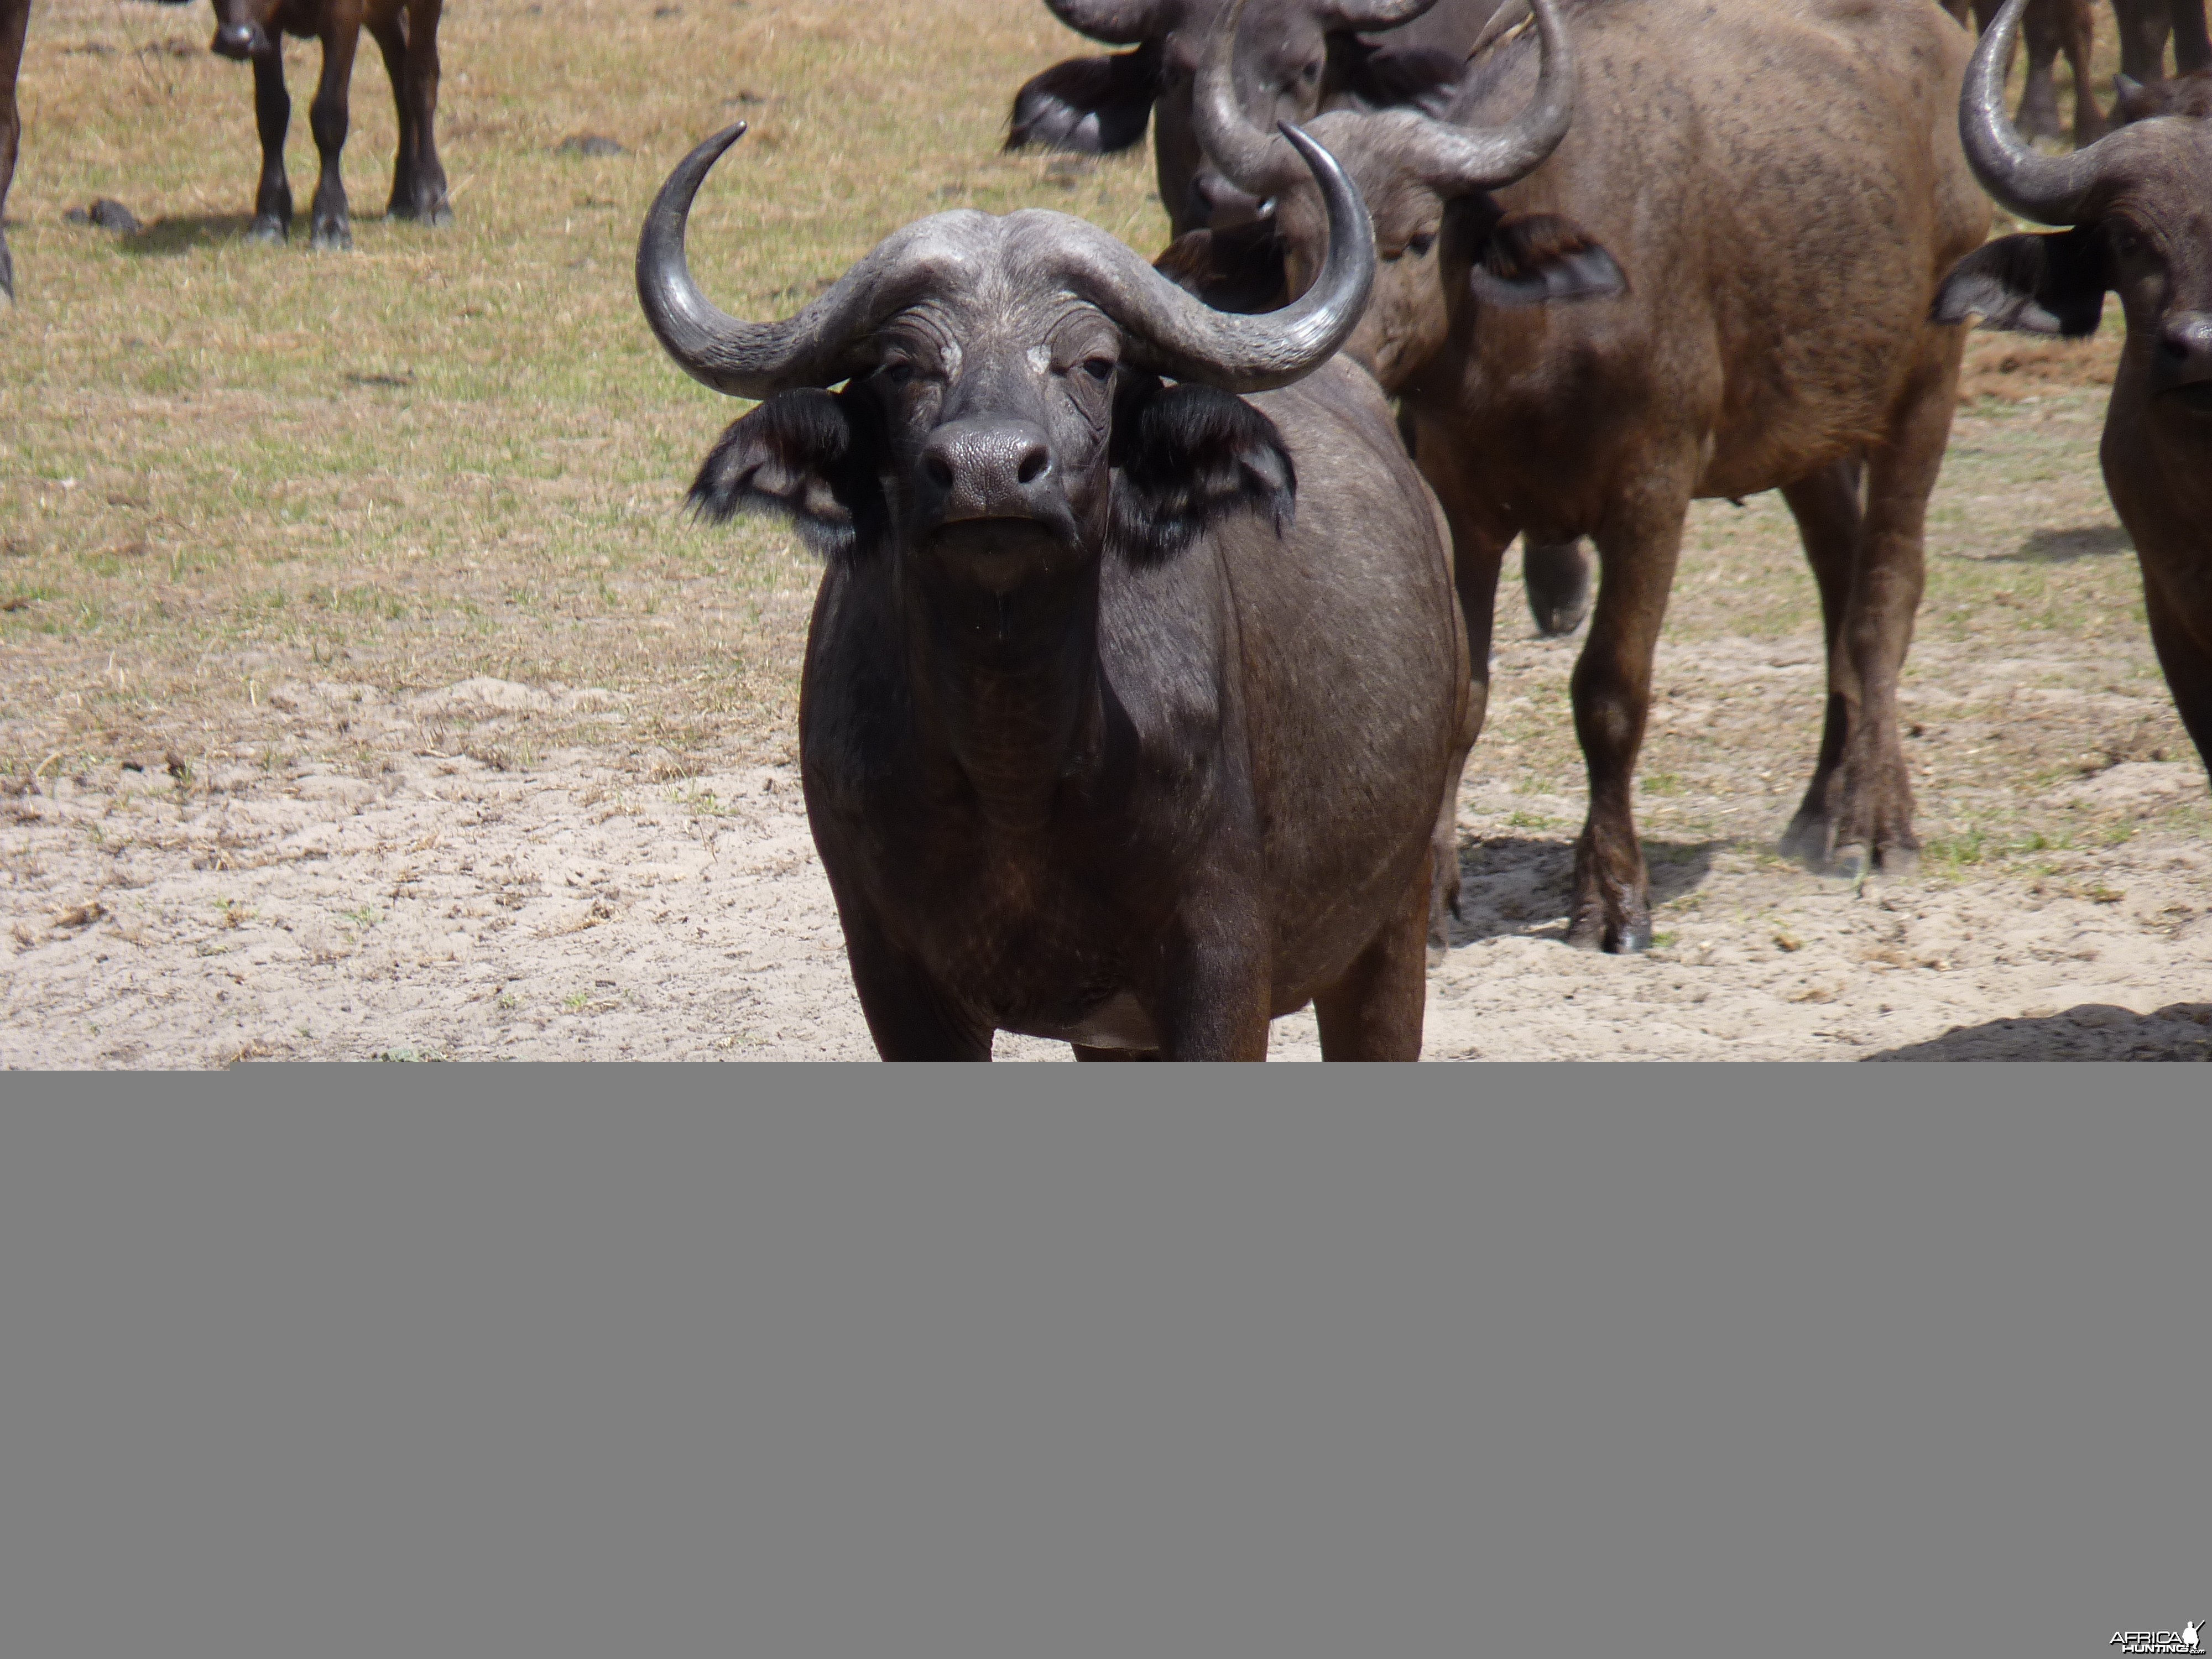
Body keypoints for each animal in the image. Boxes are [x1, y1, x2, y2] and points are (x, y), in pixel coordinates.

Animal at [208, 0, 449, 250]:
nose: (236, 40)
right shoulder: (266, 29)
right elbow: (272, 114)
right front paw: (268, 220)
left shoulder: (343, 16)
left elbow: (329, 116)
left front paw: (331, 223)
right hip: (384, 16)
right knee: (400, 80)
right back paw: (402, 201)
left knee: (421, 82)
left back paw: (433, 198)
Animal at [637, 123, 1469, 1057]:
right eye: (902, 365)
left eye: (1094, 364)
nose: (990, 471)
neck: (1016, 769)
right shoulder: (893, 974)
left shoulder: (1223, 966)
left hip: (1391, 925)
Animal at [1194, 0, 1991, 956]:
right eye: (1290, 242)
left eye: (1417, 240)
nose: (1329, 352)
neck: (1528, 352)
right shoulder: (1463, 506)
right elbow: (1463, 693)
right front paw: (1433, 890)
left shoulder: (1651, 498)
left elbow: (1610, 692)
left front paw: (1611, 896)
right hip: (1811, 426)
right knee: (1839, 586)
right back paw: (1816, 810)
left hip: (1927, 381)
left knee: (1884, 594)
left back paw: (1874, 825)